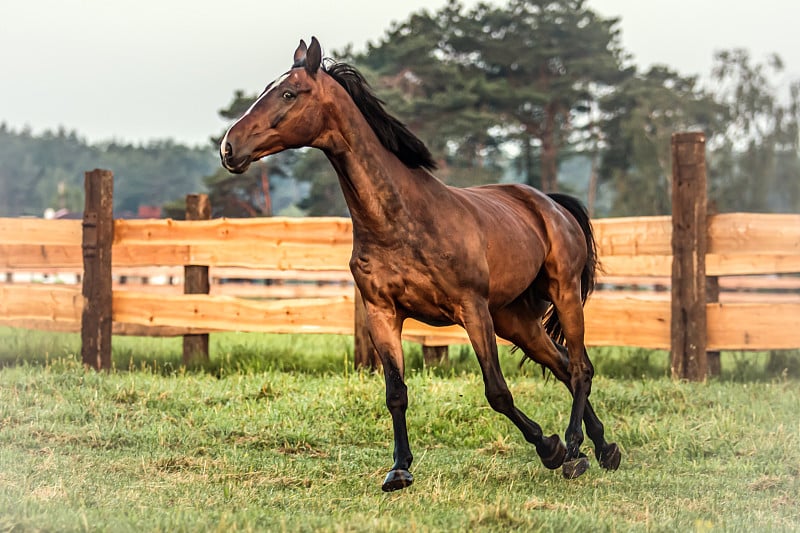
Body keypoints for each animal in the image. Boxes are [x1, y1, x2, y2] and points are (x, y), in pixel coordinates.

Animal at [222, 37, 620, 492]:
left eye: (289, 93)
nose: (229, 148)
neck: (402, 220)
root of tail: (552, 204)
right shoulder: (383, 314)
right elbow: (396, 393)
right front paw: (399, 469)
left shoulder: (472, 310)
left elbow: (497, 392)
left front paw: (548, 447)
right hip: (514, 318)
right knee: (564, 365)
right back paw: (603, 449)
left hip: (562, 293)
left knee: (581, 369)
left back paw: (572, 449)